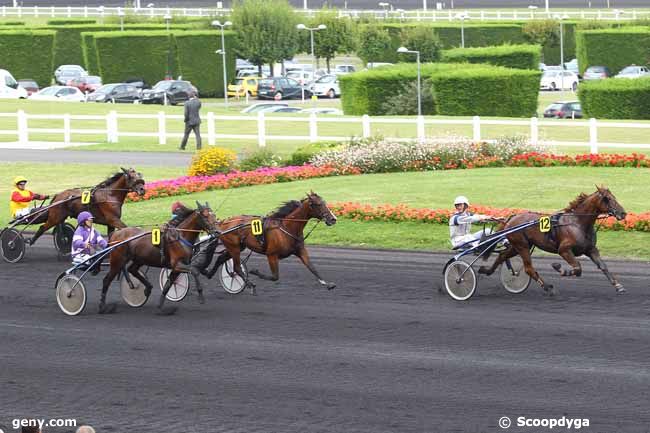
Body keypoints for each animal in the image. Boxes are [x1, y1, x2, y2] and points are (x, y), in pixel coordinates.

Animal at [206, 192, 340, 294]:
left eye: (324, 203)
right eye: (318, 204)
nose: (333, 219)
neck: (287, 227)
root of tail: (223, 222)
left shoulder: (300, 251)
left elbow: (312, 267)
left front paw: (327, 284)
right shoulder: (271, 255)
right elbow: (275, 277)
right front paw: (255, 272)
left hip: (238, 247)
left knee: (222, 259)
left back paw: (210, 274)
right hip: (234, 248)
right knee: (237, 267)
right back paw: (250, 284)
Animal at [478, 184, 624, 296]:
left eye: (614, 197)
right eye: (607, 199)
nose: (623, 213)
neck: (577, 223)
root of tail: (511, 218)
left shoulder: (590, 249)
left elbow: (603, 266)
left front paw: (618, 285)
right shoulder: (564, 250)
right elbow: (577, 268)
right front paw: (559, 268)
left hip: (518, 246)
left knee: (502, 255)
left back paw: (486, 270)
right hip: (522, 246)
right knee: (529, 269)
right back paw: (548, 287)